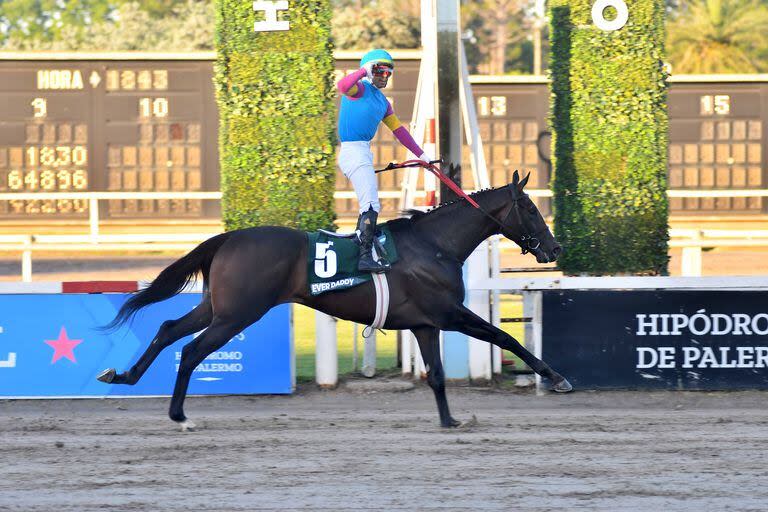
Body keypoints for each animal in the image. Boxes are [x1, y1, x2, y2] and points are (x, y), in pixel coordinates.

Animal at [97, 170, 568, 430]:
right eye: (529, 208)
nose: (554, 247)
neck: (435, 245)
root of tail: (228, 238)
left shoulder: (424, 323)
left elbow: (435, 374)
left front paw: (449, 419)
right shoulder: (449, 313)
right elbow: (506, 338)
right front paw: (556, 376)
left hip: (217, 307)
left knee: (167, 329)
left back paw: (123, 375)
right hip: (238, 314)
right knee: (192, 350)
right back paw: (179, 414)